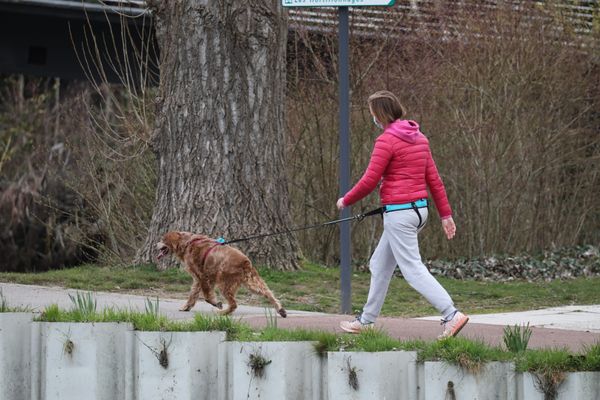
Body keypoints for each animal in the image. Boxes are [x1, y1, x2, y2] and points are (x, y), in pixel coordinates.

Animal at [155, 233, 286, 318]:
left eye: (162, 239)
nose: (155, 245)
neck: (187, 243)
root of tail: (245, 261)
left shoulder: (203, 276)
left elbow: (207, 295)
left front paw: (216, 303)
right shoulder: (199, 279)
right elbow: (193, 294)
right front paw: (186, 307)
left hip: (224, 283)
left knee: (233, 304)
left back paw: (222, 313)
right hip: (252, 282)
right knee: (269, 293)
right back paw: (281, 310)